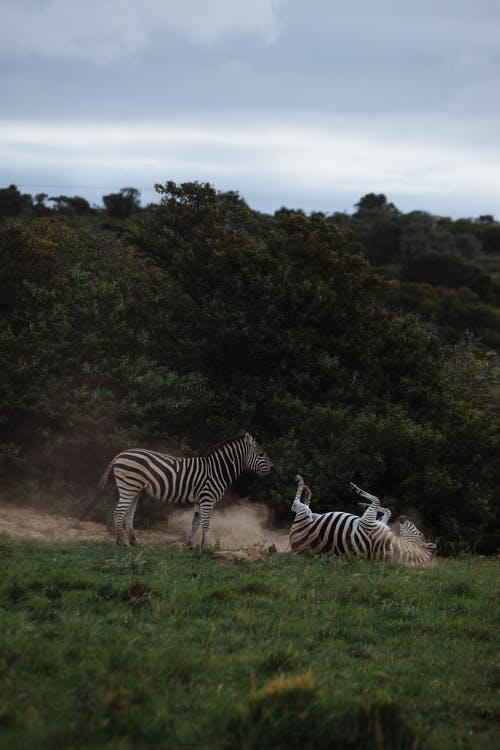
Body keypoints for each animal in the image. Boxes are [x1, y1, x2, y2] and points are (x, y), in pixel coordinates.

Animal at [80, 432, 274, 548]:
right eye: (261, 454)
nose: (273, 469)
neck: (216, 470)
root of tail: (120, 454)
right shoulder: (207, 498)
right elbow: (207, 523)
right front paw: (206, 548)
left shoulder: (199, 500)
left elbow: (195, 522)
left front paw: (191, 545)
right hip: (128, 486)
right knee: (119, 512)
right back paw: (120, 543)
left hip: (134, 490)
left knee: (128, 514)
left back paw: (134, 542)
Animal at [292, 478, 436, 568]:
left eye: (421, 534)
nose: (403, 516)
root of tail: (296, 549)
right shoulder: (374, 521)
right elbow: (387, 510)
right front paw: (364, 504)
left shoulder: (367, 520)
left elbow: (376, 499)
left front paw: (356, 489)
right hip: (310, 514)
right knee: (306, 504)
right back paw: (307, 491)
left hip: (303, 514)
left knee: (296, 504)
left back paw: (301, 483)